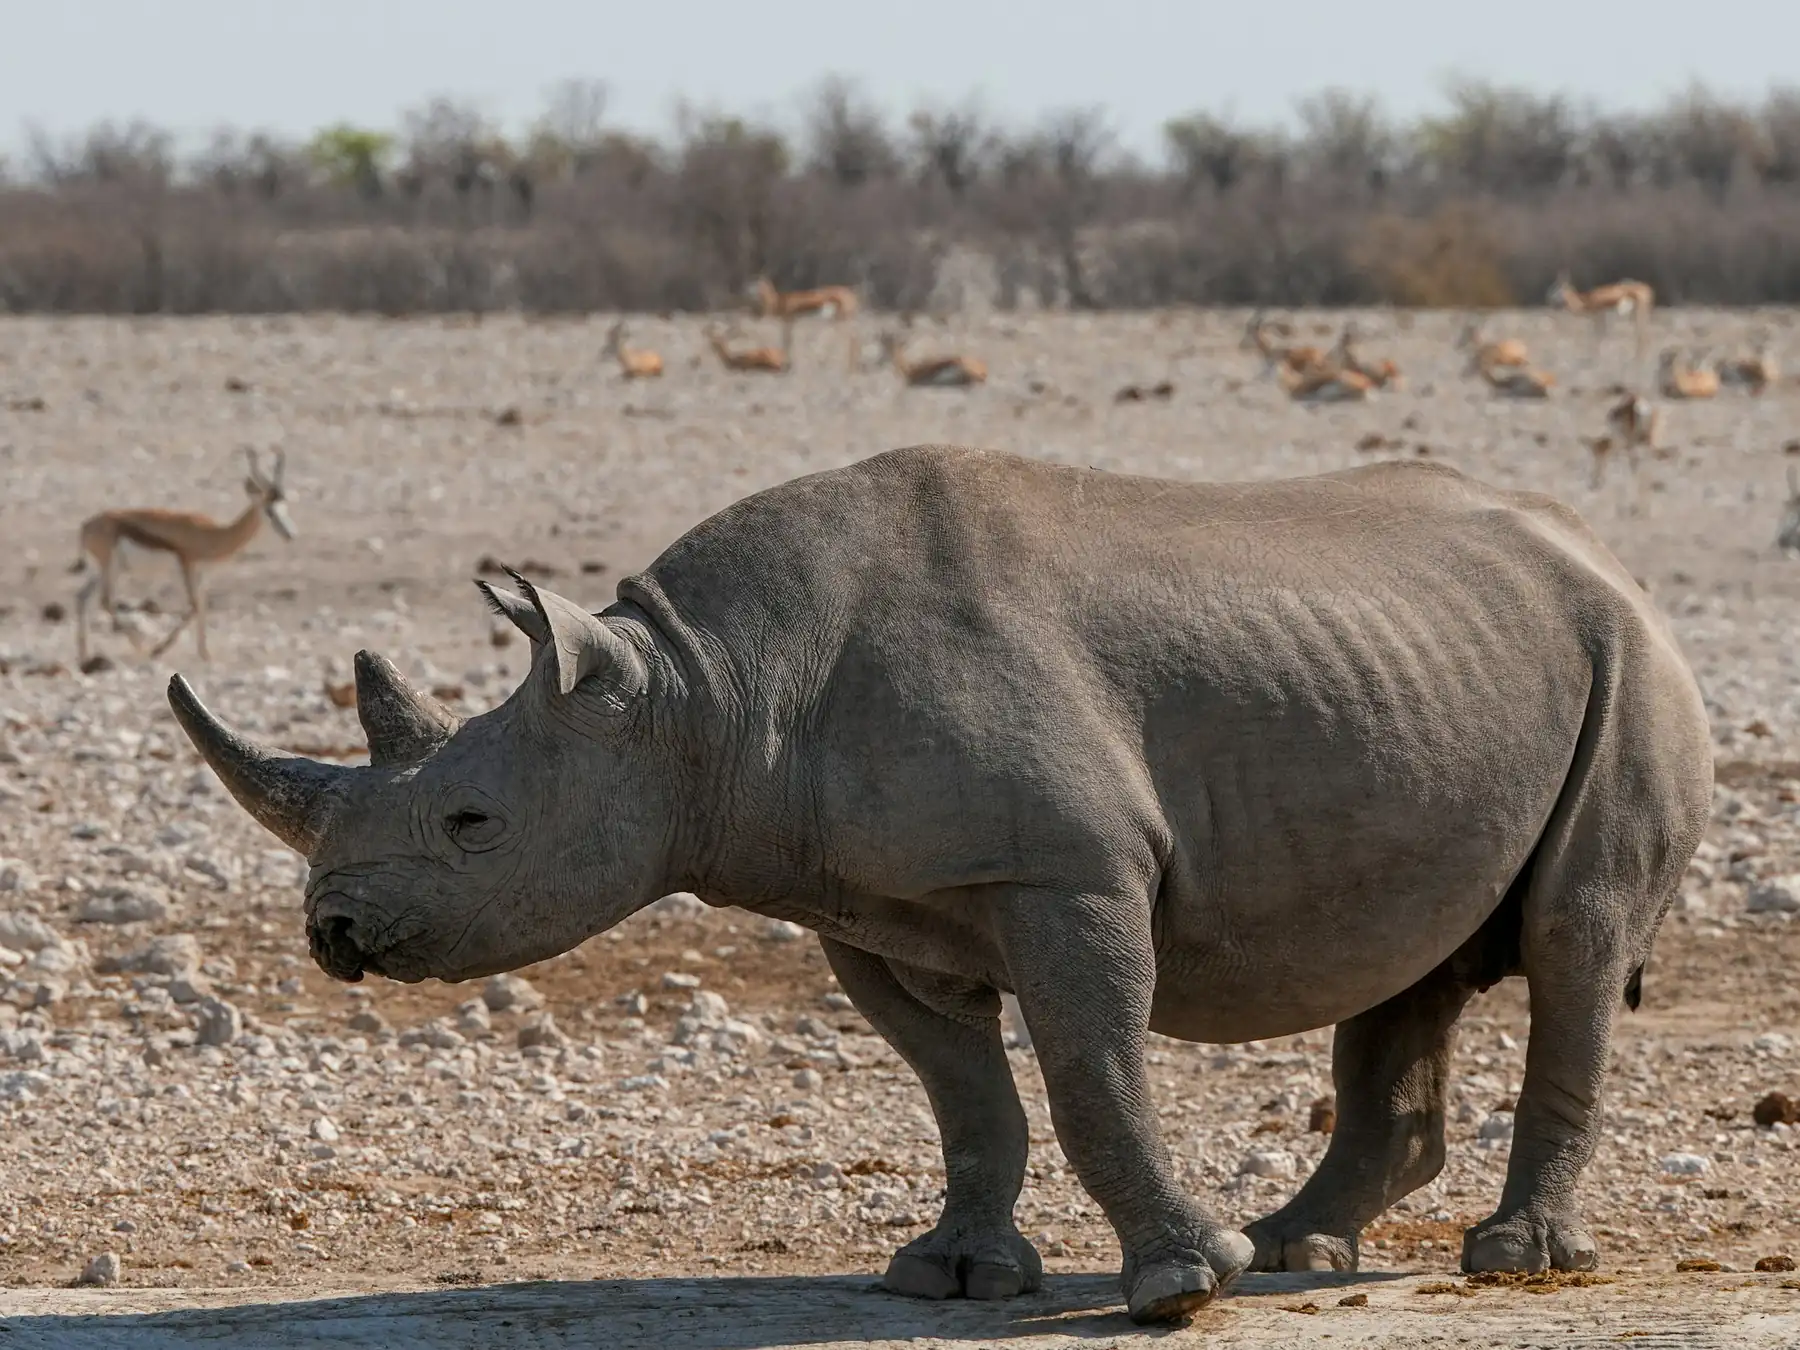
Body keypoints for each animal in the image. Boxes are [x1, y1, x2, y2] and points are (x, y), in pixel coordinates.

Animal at [167, 447, 1711, 1324]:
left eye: (474, 822)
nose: (334, 932)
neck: (700, 694)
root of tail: (1606, 553)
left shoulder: (1067, 870)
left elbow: (1089, 1071)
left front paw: (1177, 1287)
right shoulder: (863, 903)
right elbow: (965, 1094)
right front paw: (952, 1276)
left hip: (1631, 655)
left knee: (1572, 938)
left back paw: (1511, 1262)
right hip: (1445, 666)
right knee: (1409, 961)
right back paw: (1298, 1252)